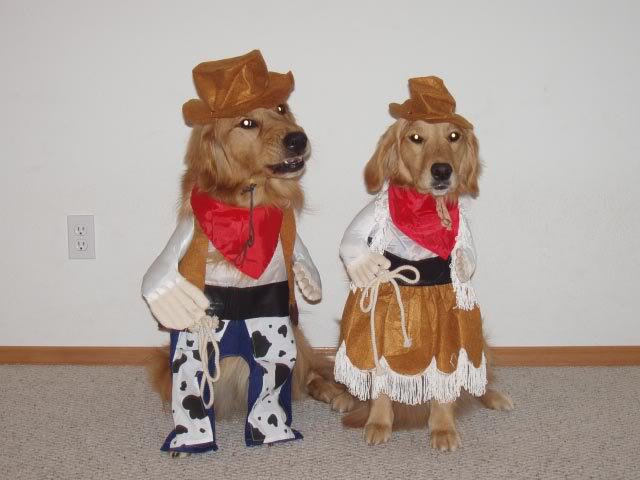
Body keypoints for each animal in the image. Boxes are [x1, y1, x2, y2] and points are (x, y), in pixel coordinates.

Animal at [142, 49, 342, 458]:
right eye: (247, 122)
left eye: (282, 107)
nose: (298, 139)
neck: (249, 200)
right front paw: (189, 441)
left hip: (291, 340)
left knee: (309, 373)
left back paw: (326, 395)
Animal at [332, 75, 512, 450]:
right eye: (416, 138)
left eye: (454, 136)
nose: (442, 170)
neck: (426, 211)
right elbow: (381, 388)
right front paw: (379, 422)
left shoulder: (449, 338)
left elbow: (444, 391)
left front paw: (442, 428)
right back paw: (345, 396)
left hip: (475, 338)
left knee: (479, 378)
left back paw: (493, 395)